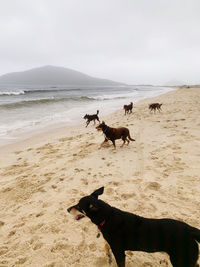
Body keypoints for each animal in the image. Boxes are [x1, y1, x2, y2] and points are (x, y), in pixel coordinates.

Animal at [67, 187, 200, 267]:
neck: (107, 217)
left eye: (78, 206)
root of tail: (190, 230)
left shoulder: (119, 252)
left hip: (180, 260)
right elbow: (106, 246)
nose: (67, 209)